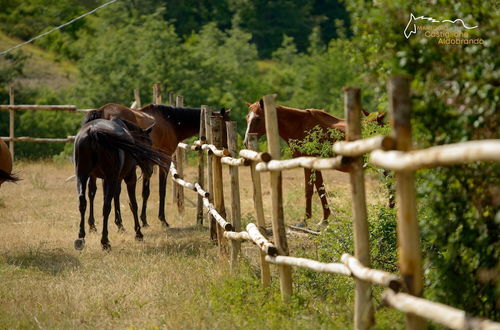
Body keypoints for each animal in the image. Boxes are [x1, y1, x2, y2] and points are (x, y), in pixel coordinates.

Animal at [73, 117, 168, 249]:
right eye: (149, 143)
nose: (150, 170)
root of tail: (93, 131)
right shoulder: (129, 178)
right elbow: (133, 204)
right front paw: (138, 233)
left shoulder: (107, 179)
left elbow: (115, 197)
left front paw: (120, 225)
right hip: (110, 178)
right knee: (106, 206)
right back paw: (105, 241)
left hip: (82, 176)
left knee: (83, 202)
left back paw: (81, 237)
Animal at [85, 103, 230, 229]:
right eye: (224, 124)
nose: (226, 147)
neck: (171, 121)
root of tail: (101, 112)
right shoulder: (164, 162)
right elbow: (160, 191)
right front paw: (160, 220)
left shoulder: (148, 165)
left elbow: (145, 191)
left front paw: (144, 220)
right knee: (113, 192)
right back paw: (117, 223)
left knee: (93, 191)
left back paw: (94, 225)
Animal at [243, 99, 386, 226]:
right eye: (247, 118)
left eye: (257, 118)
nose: (245, 142)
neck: (300, 126)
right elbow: (316, 189)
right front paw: (316, 219)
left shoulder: (311, 164)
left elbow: (313, 190)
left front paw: (313, 220)